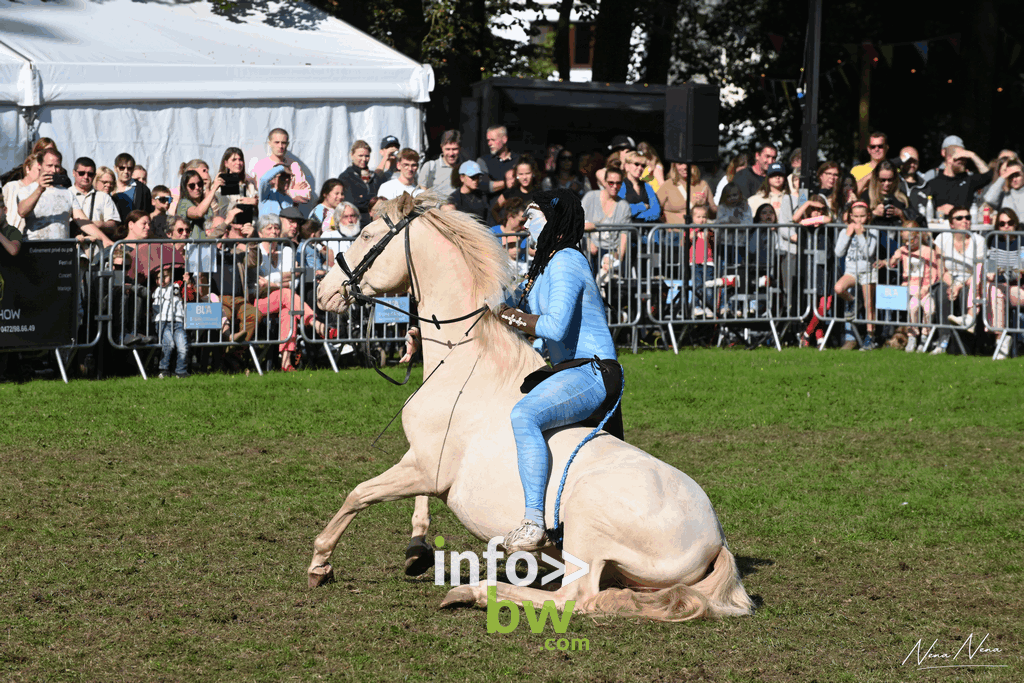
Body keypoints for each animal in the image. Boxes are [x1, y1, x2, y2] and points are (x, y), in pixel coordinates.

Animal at [311, 194, 753, 622]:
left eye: (367, 235)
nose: (322, 292)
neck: (464, 361)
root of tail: (716, 540)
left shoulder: (425, 468)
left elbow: (358, 494)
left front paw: (320, 563)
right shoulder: (421, 460)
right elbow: (409, 503)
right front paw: (417, 551)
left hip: (586, 525)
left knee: (576, 597)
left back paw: (476, 591)